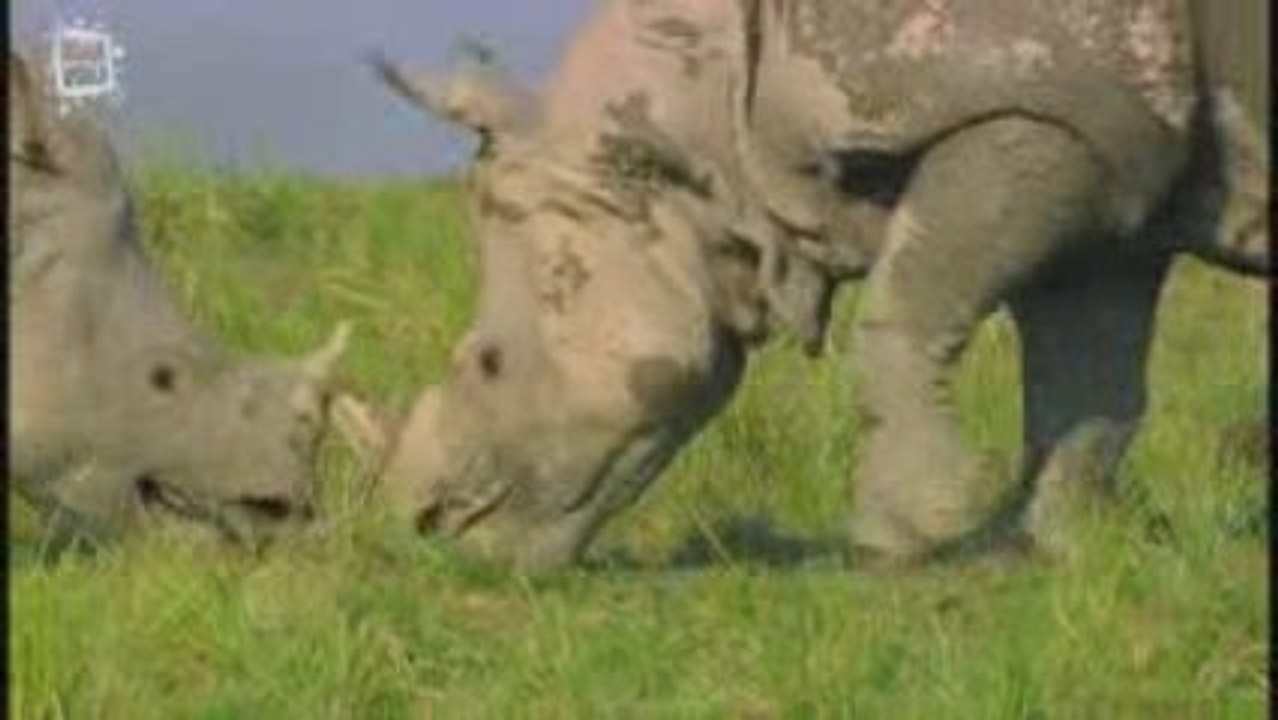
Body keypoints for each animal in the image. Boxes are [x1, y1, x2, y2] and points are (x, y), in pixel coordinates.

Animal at [373, 0, 1270, 572]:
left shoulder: (1042, 111)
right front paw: (1053, 548)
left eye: (489, 362)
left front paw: (903, 537)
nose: (432, 532)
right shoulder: (1117, 164)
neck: (702, 126)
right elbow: (1086, 377)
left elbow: (912, 303)